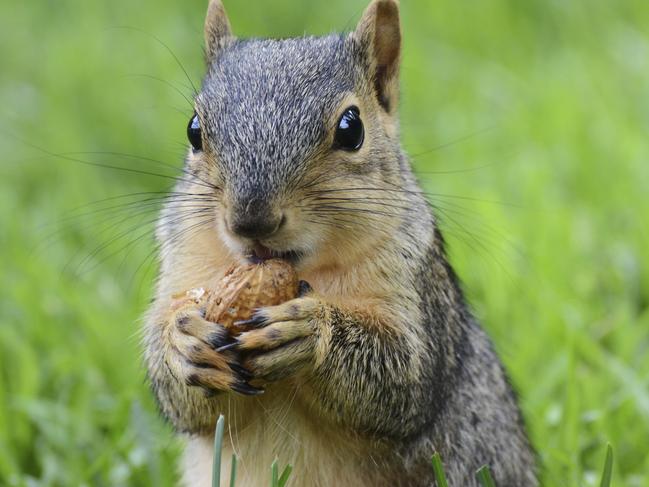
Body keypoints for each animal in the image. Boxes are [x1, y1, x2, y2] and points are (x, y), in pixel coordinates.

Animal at [142, 0, 536, 487]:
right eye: (194, 129)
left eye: (352, 129)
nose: (251, 218)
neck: (304, 270)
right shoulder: (184, 261)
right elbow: (183, 403)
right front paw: (183, 342)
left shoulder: (415, 283)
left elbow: (404, 380)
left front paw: (312, 331)